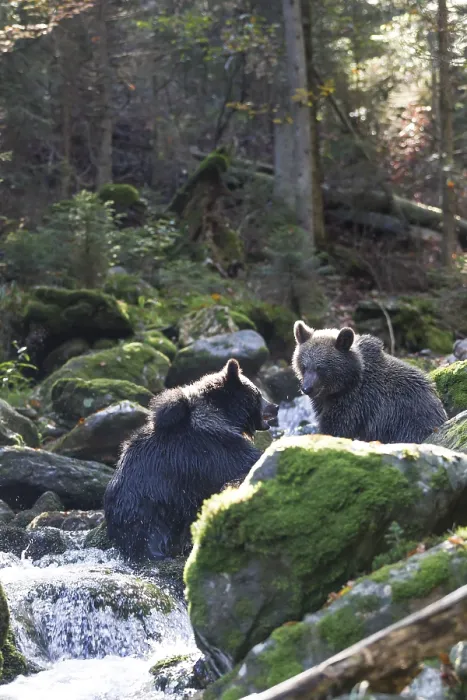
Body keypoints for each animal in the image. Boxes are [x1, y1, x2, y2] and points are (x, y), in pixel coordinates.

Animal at [103, 358, 278, 561]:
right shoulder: (212, 449)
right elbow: (245, 460)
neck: (224, 417)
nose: (275, 407)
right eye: (258, 394)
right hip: (149, 508)